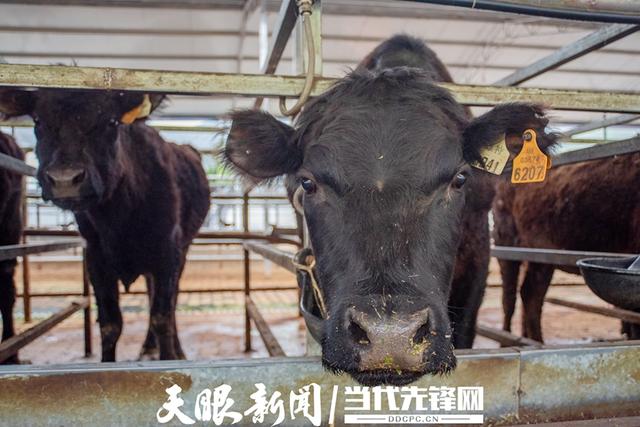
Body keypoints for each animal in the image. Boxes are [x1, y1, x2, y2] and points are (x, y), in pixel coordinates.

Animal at [0, 89, 210, 361]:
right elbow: (111, 325)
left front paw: (171, 356)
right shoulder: (96, 260)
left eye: (111, 121)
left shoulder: (168, 254)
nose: (64, 180)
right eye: (38, 121)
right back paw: (148, 347)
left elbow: (162, 317)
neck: (119, 218)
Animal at [493, 151, 640, 342]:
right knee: (509, 298)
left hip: (541, 259)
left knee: (530, 294)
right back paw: (508, 340)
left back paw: (534, 341)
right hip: (506, 248)